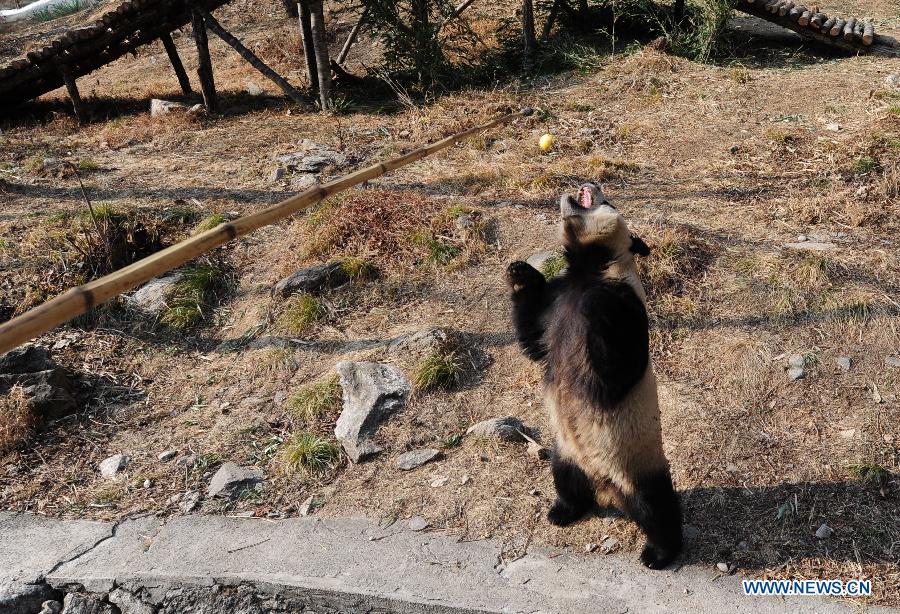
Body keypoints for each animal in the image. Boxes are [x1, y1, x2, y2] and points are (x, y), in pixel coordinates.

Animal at [506, 183, 684, 572]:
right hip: (567, 452)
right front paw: (519, 272)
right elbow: (533, 340)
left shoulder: (624, 299)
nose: (591, 185)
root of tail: (606, 486)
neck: (589, 268)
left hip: (634, 460)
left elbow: (620, 360)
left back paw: (659, 552)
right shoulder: (556, 300)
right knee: (565, 480)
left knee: (656, 505)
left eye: (610, 201)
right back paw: (563, 511)